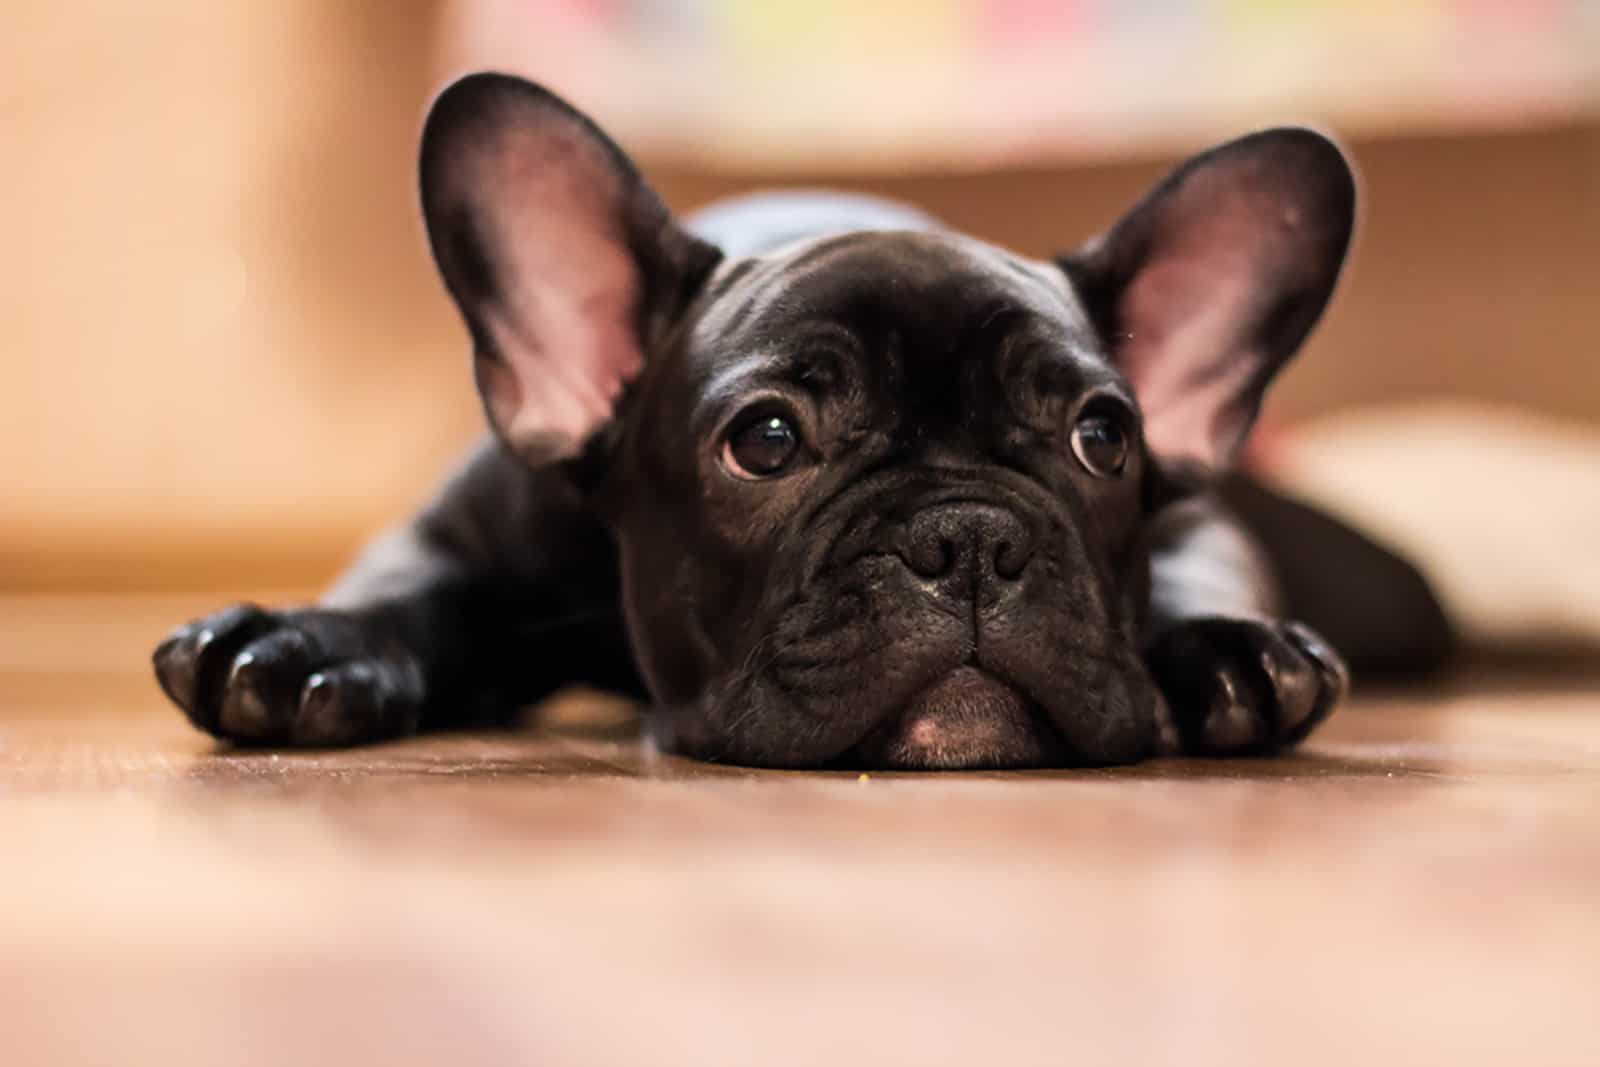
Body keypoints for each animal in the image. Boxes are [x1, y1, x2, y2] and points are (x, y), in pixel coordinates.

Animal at [150, 70, 1452, 767]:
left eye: (1103, 437)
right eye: (765, 439)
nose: (967, 536)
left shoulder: (1192, 519)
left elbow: (1195, 566)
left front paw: (1228, 651)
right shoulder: (461, 527)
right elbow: (403, 584)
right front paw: (308, 642)